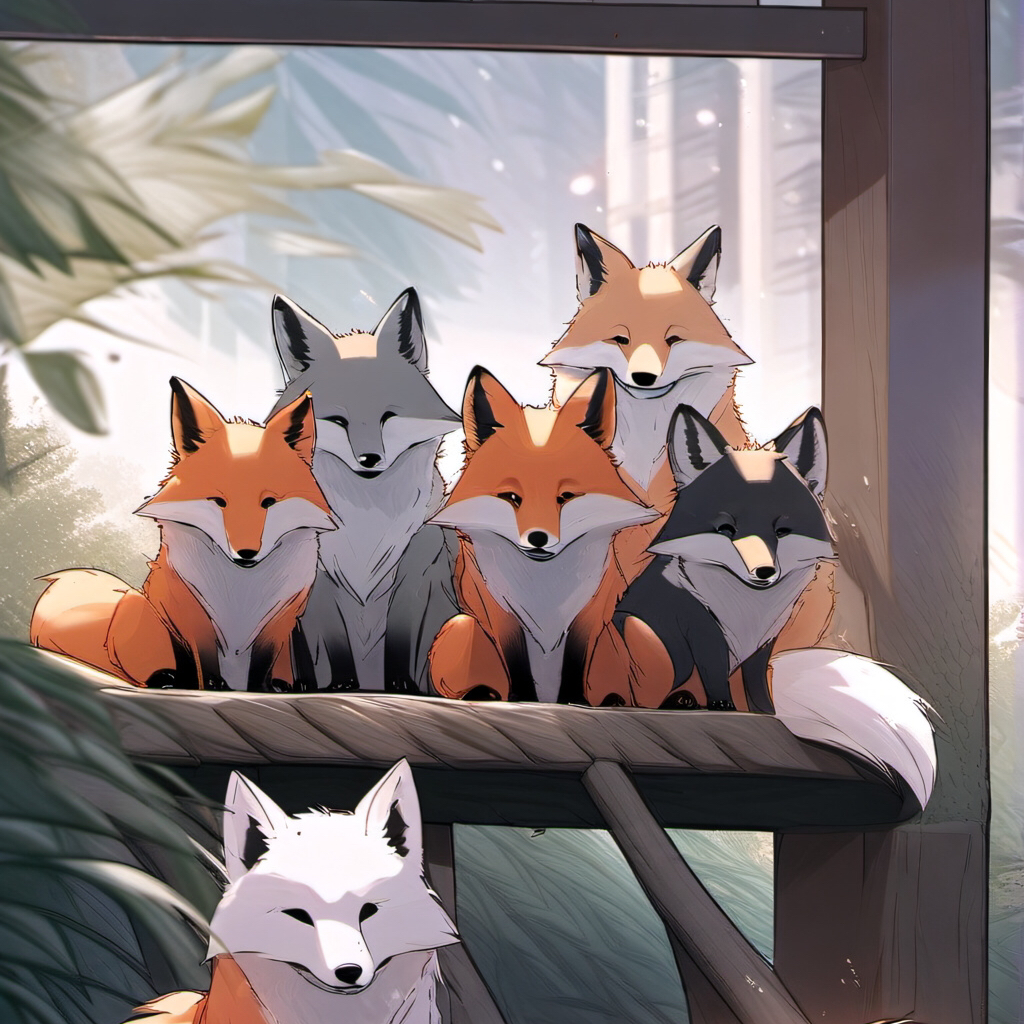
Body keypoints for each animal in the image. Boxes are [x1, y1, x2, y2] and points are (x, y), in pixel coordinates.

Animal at [30, 378, 334, 691]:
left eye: (269, 502)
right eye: (219, 501)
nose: (246, 553)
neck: (240, 591)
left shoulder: (279, 621)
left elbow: (261, 668)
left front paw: (258, 689)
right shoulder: (189, 613)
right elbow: (203, 663)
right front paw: (209, 686)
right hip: (137, 605)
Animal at [268, 288, 462, 693]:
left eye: (389, 417)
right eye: (337, 421)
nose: (369, 459)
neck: (367, 523)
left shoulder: (416, 567)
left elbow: (403, 640)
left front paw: (401, 685)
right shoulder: (318, 574)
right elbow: (334, 643)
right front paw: (341, 684)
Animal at [428, 366, 657, 704]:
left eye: (566, 497)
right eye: (511, 497)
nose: (538, 538)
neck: (544, 588)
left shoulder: (589, 612)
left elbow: (577, 663)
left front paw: (574, 700)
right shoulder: (499, 611)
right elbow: (516, 663)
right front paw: (521, 698)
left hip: (630, 630)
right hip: (461, 624)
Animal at [600, 404, 836, 711]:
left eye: (781, 531)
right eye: (726, 529)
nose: (764, 572)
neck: (748, 612)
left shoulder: (764, 642)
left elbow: (757, 684)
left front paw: (766, 711)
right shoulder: (701, 626)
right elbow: (713, 673)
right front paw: (724, 705)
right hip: (657, 648)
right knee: (641, 696)